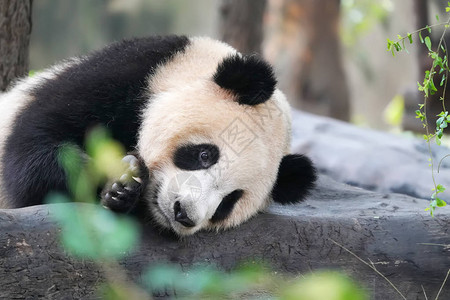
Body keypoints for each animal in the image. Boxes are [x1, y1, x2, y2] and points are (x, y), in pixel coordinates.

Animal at [0, 35, 316, 237]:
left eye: (229, 201)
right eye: (205, 155)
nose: (184, 213)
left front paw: (122, 190)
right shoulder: (126, 74)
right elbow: (33, 150)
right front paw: (120, 178)